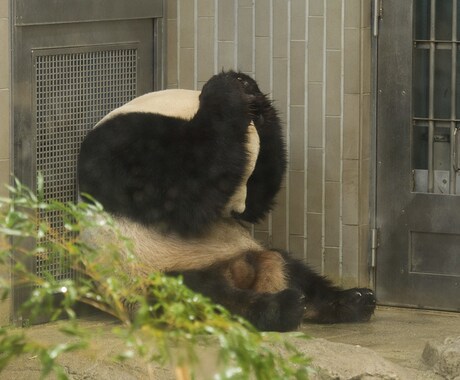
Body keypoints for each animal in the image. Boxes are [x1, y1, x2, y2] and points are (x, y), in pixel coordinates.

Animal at [77, 70, 376, 332]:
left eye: (247, 175)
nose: (237, 210)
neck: (172, 107)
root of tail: (239, 271)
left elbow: (260, 188)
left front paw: (251, 94)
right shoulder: (124, 146)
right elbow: (183, 197)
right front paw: (228, 90)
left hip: (249, 250)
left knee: (293, 268)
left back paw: (351, 300)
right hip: (150, 272)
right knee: (206, 298)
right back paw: (282, 307)